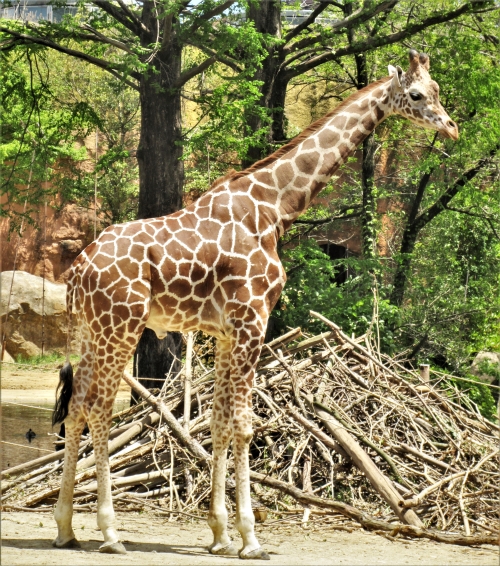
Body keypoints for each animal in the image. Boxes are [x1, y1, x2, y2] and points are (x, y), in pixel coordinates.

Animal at [53, 51, 458, 560]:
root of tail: (77, 270)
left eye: (439, 90)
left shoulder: (229, 331)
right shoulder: (253, 320)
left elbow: (220, 422)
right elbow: (245, 425)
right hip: (119, 327)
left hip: (92, 331)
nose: (451, 128)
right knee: (99, 410)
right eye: (419, 95)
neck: (275, 207)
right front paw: (250, 537)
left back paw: (66, 527)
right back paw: (108, 532)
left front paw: (220, 534)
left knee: (75, 408)